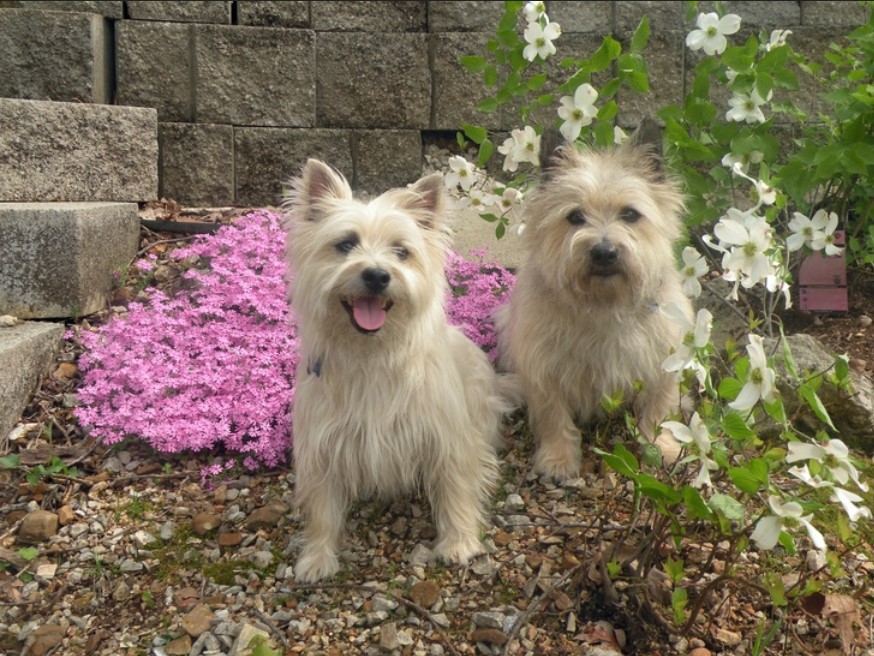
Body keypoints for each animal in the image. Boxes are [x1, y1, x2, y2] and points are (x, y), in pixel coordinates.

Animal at [286, 161, 504, 580]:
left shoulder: (448, 436)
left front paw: (459, 541)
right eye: (345, 244)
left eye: (402, 251)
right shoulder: (321, 445)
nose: (377, 275)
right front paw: (317, 557)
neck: (372, 354)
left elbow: (456, 486)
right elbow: (321, 508)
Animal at [494, 118, 692, 480]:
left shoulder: (663, 360)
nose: (604, 252)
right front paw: (558, 458)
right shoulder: (543, 366)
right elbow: (554, 415)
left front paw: (661, 446)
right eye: (575, 216)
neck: (604, 304)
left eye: (630, 214)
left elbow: (657, 409)